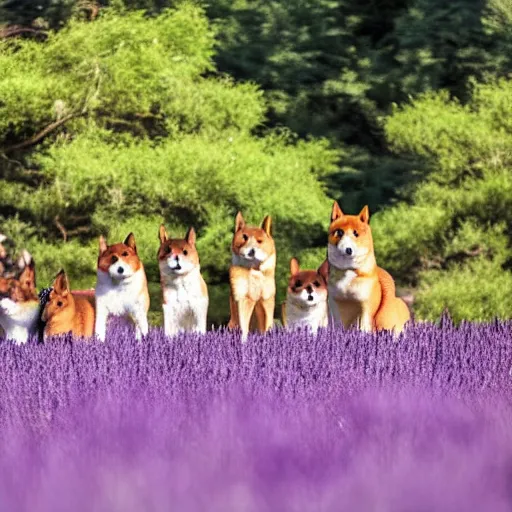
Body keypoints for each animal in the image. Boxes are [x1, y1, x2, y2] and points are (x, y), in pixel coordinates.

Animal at [228, 212, 276, 344]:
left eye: (259, 241)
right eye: (244, 237)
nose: (252, 251)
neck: (254, 270)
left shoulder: (267, 300)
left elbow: (267, 325)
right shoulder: (243, 299)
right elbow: (244, 327)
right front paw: (244, 343)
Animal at [328, 202, 412, 334]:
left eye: (356, 234)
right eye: (339, 232)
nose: (348, 250)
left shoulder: (366, 308)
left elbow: (364, 329)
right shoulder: (336, 307)